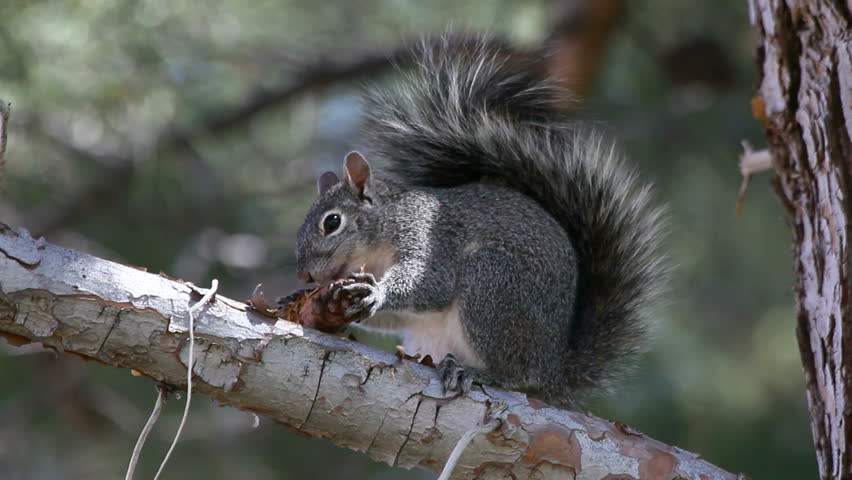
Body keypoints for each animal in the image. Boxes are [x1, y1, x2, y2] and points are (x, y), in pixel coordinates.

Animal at [291, 34, 668, 408]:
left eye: (332, 223)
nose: (306, 275)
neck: (380, 238)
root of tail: (555, 372)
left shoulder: (429, 237)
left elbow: (431, 284)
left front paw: (377, 292)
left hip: (492, 284)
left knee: (520, 375)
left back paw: (479, 373)